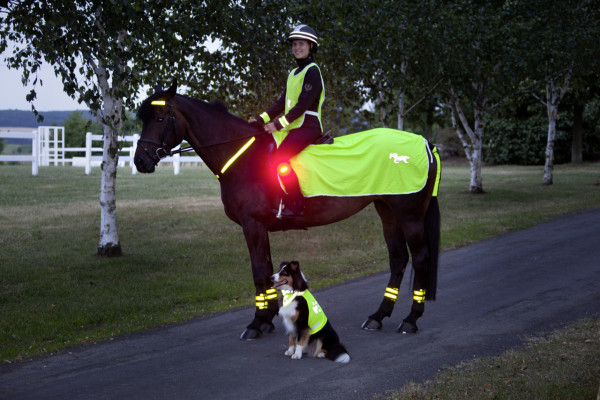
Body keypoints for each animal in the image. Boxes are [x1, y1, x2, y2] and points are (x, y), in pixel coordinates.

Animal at [135, 81, 440, 340]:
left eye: (159, 119)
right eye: (143, 119)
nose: (140, 161)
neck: (243, 158)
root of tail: (424, 142)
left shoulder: (253, 225)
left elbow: (259, 271)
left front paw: (257, 323)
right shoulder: (259, 228)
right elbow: (267, 269)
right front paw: (267, 318)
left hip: (410, 215)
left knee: (420, 258)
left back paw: (411, 320)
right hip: (387, 212)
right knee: (398, 259)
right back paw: (378, 316)